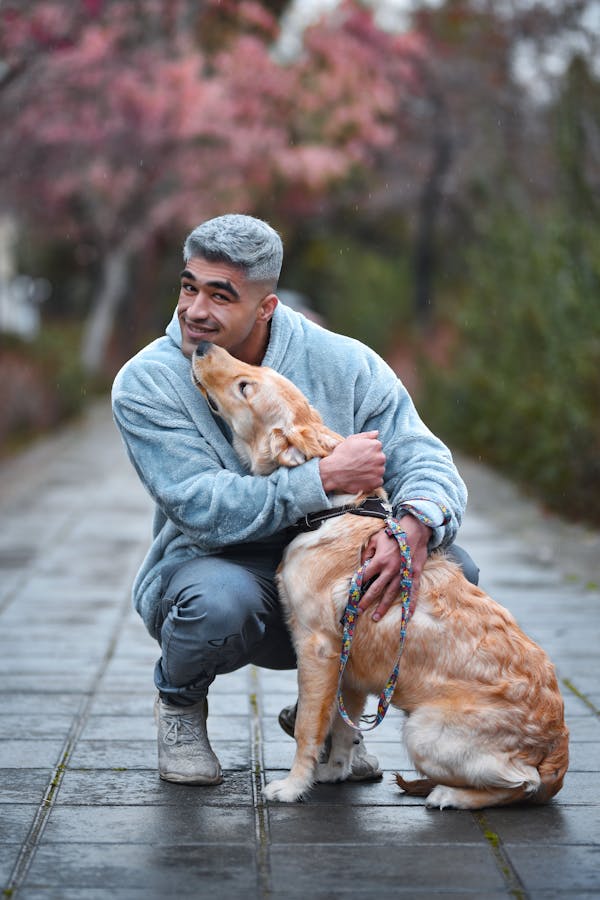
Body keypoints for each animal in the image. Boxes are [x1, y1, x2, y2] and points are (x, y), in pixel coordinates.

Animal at [191, 338, 568, 808]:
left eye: (246, 386)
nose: (201, 345)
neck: (333, 510)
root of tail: (558, 749)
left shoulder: (317, 650)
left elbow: (308, 728)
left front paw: (294, 786)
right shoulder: (347, 661)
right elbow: (342, 726)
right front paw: (335, 772)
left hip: (423, 730)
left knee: (521, 783)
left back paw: (448, 794)